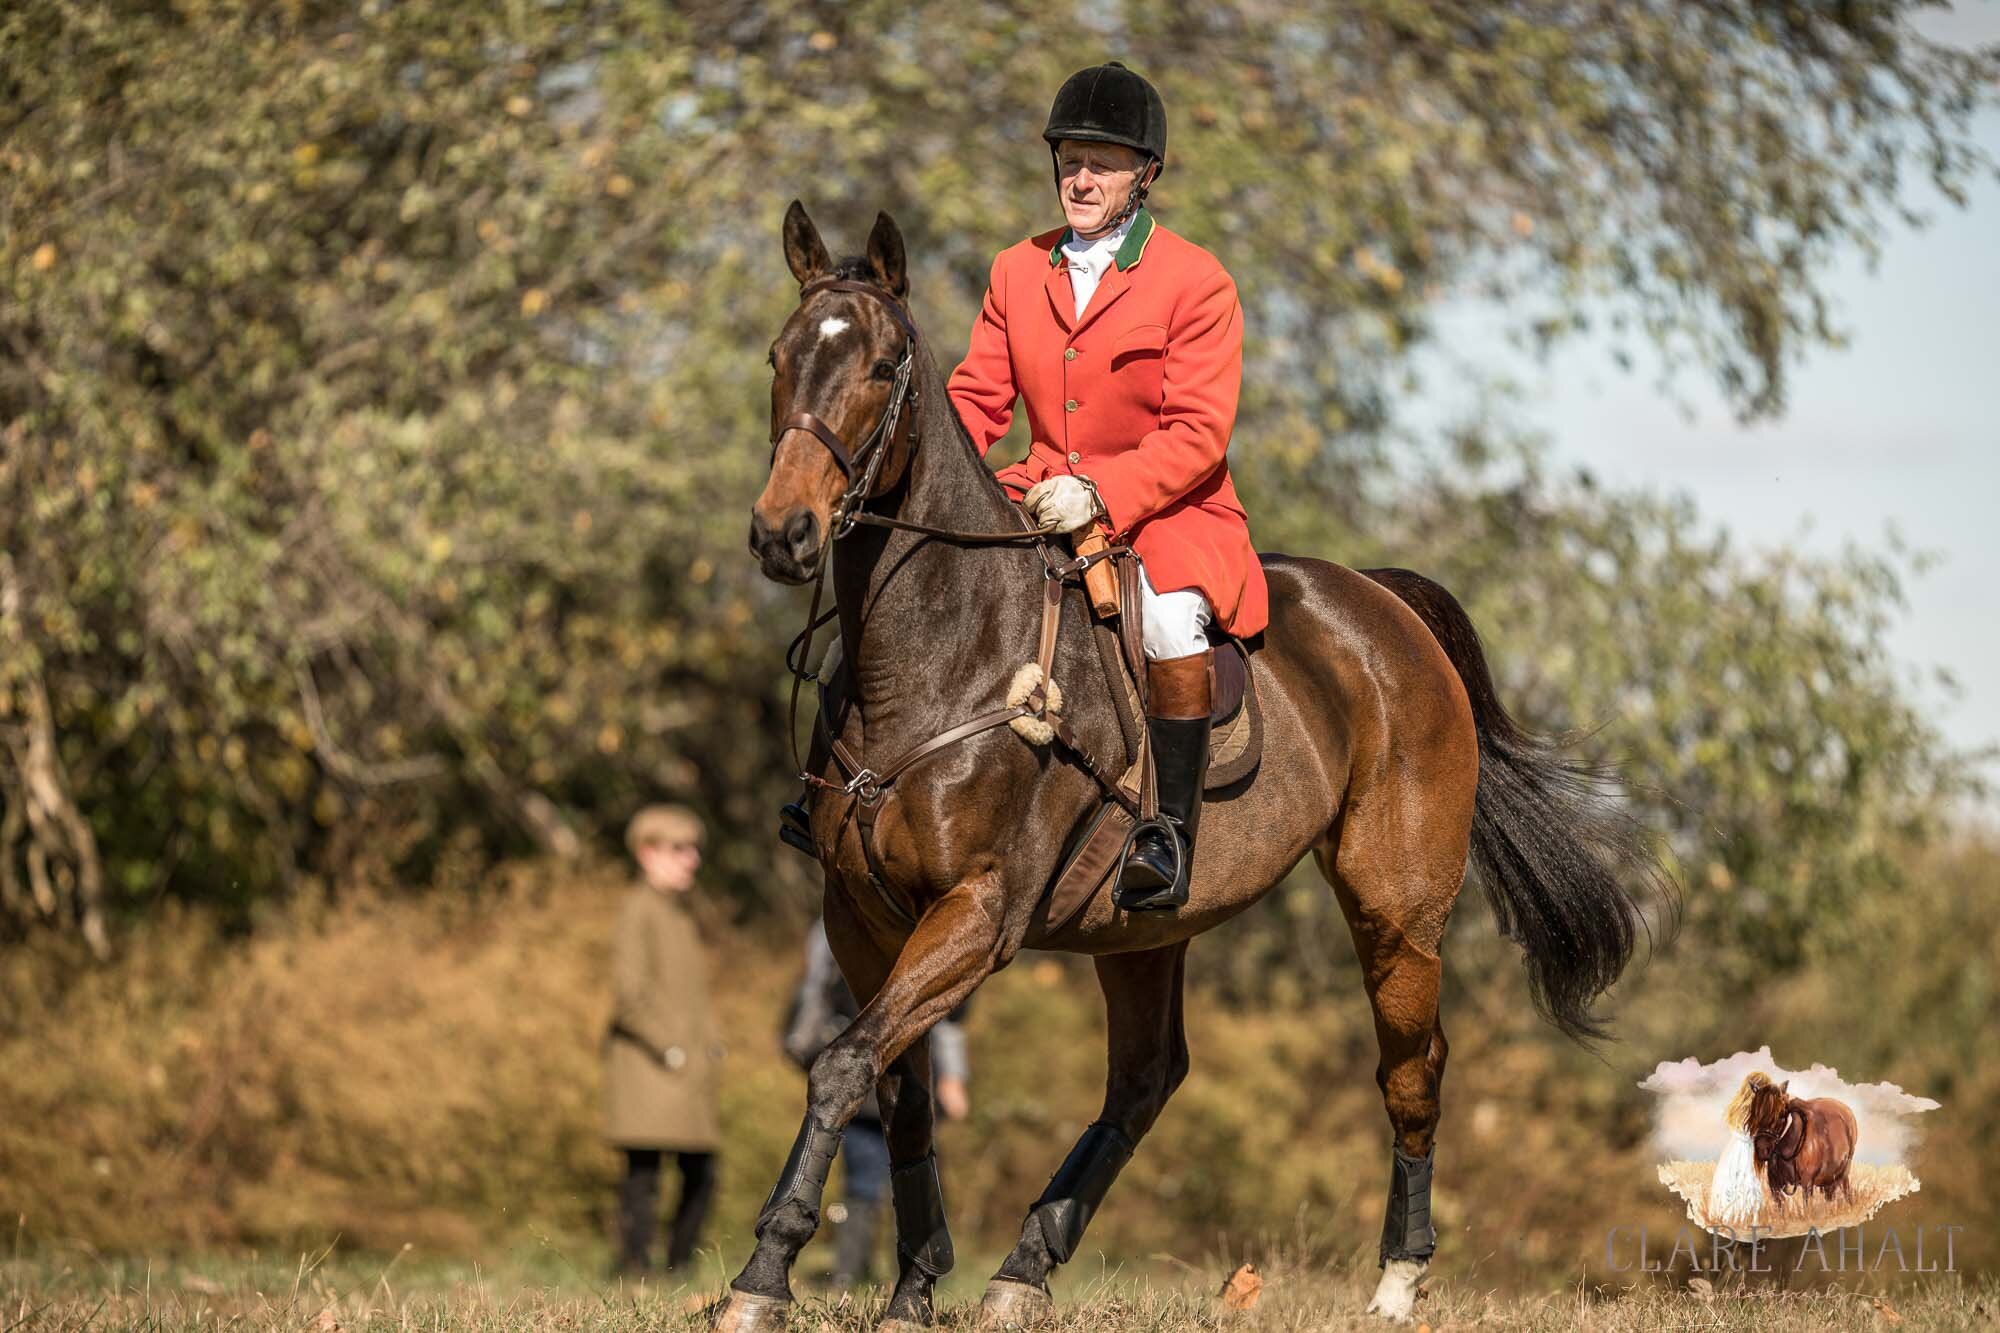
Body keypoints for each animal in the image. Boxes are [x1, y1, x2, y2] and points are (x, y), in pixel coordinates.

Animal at [720, 202, 1656, 1320]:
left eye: (880, 365)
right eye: (778, 357)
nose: (782, 534)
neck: (929, 655)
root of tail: (1381, 602)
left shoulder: (977, 913)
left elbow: (845, 1063)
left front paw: (763, 1275)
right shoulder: (858, 911)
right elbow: (889, 1083)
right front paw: (913, 1285)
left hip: (1395, 908)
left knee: (1410, 1066)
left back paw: (1396, 1280)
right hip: (1142, 929)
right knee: (1145, 1080)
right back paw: (1022, 1269)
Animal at [1752, 1072, 1856, 1200]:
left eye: (1782, 1115)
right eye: (1754, 1113)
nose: (1762, 1149)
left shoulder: (1807, 1184)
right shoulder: (1775, 1186)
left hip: (1842, 1174)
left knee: (1846, 1193)